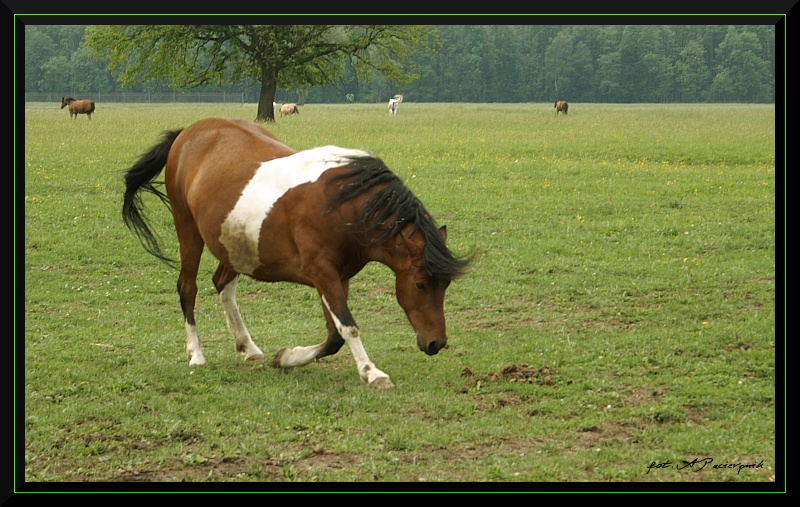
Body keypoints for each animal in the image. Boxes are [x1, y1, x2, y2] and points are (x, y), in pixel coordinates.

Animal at [120, 117, 468, 390]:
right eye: (421, 284)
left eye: (446, 285)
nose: (436, 343)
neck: (343, 205)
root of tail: (189, 132)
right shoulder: (323, 273)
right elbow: (347, 328)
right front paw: (372, 373)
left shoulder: (337, 277)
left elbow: (334, 337)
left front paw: (286, 357)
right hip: (188, 230)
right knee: (188, 288)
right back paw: (196, 354)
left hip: (235, 246)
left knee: (222, 283)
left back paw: (247, 346)